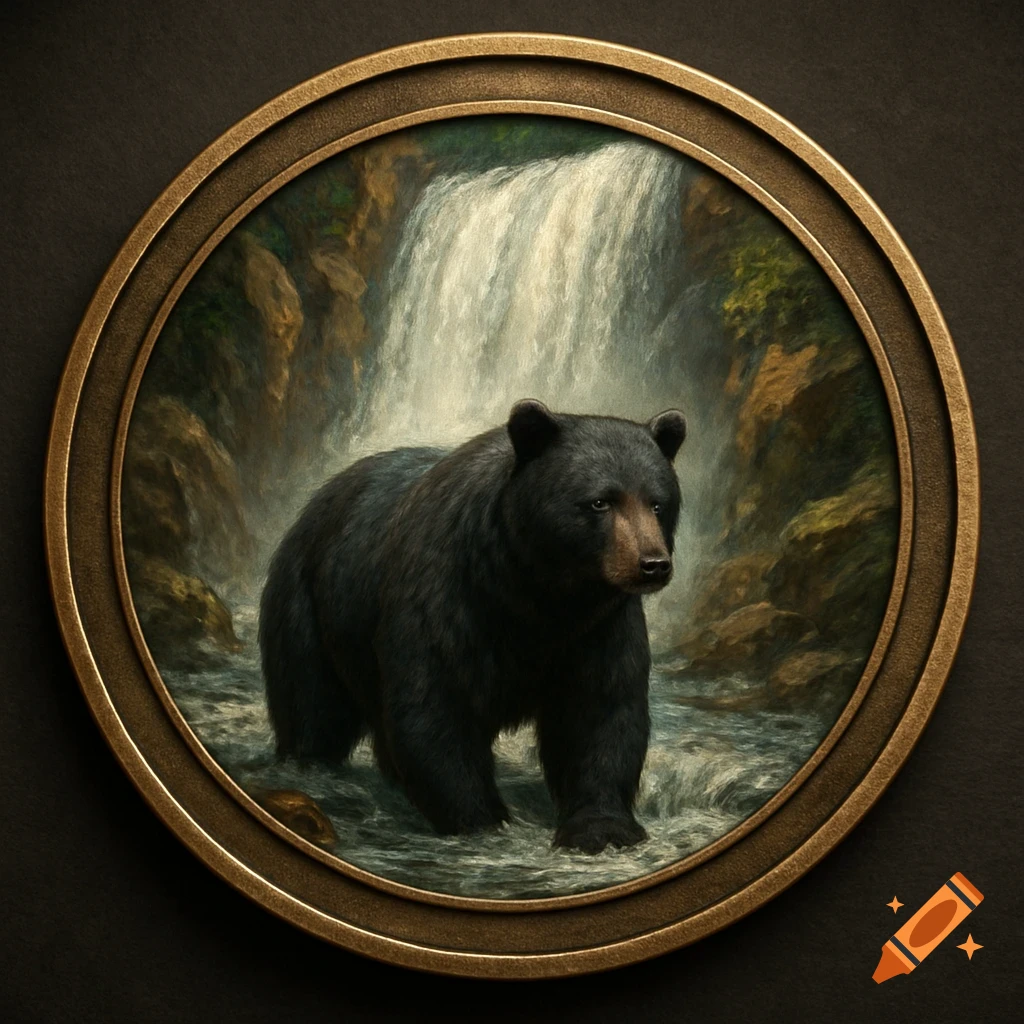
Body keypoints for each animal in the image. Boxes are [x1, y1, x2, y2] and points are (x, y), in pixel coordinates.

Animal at [258, 399, 686, 853]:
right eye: (601, 502)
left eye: (657, 503)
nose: (652, 564)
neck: (536, 588)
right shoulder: (450, 596)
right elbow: (438, 706)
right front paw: (482, 821)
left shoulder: (598, 626)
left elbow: (599, 712)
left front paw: (602, 828)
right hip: (312, 603)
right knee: (312, 701)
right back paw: (309, 767)